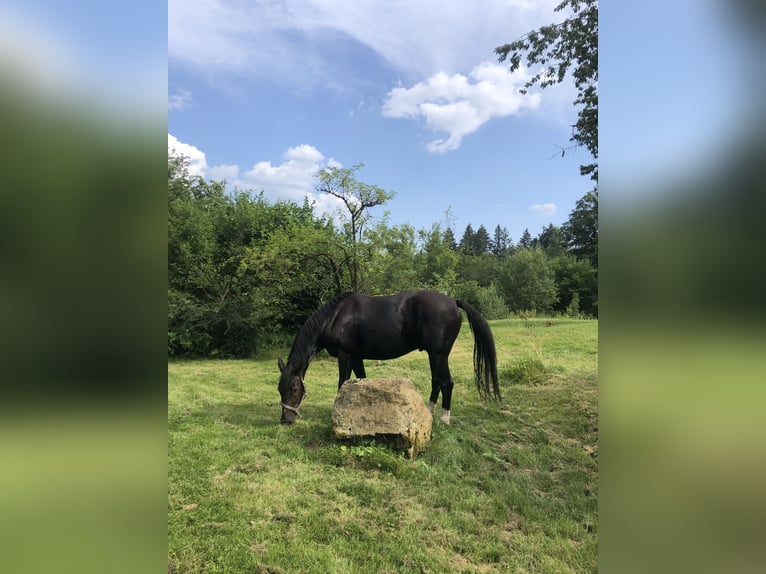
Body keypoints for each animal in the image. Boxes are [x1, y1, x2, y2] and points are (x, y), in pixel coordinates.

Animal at [280, 290, 500, 426]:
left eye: (294, 389)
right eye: (279, 389)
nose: (286, 420)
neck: (335, 317)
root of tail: (453, 302)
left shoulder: (346, 356)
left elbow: (342, 384)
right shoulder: (357, 358)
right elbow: (361, 382)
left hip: (439, 355)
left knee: (446, 382)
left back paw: (444, 419)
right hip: (433, 355)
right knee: (436, 381)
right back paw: (428, 413)